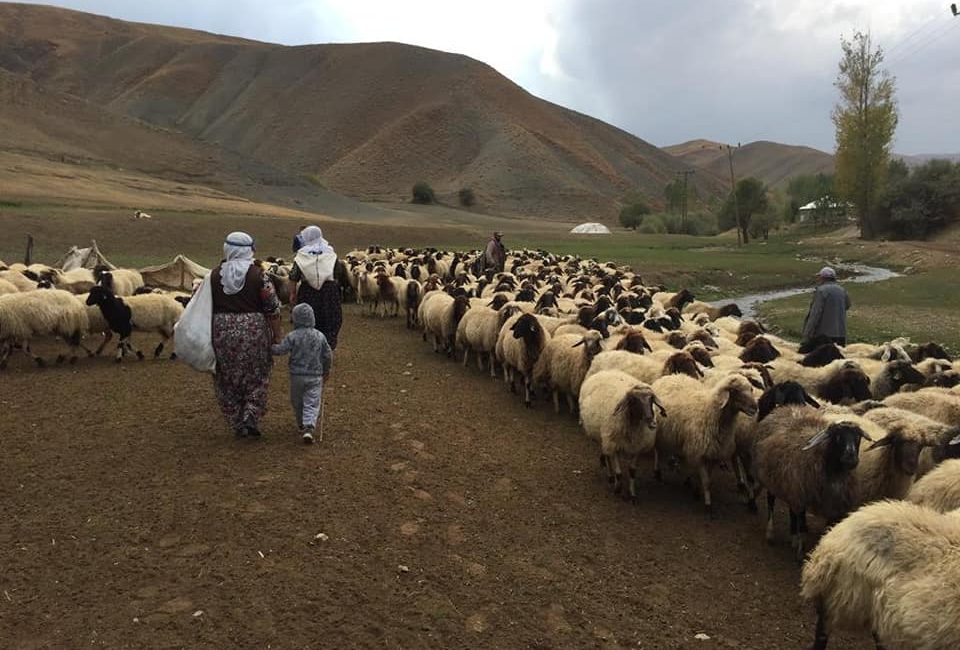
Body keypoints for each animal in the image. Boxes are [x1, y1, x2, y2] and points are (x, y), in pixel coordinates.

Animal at [580, 370, 664, 502]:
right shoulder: (614, 444)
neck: (633, 426)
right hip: (605, 438)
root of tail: (605, 371)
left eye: (651, 400)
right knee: (607, 455)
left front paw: (632, 494)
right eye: (634, 401)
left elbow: (632, 471)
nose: (652, 421)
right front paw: (617, 488)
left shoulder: (637, 448)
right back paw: (610, 476)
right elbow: (619, 473)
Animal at [648, 372, 760, 512]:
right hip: (658, 432)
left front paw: (698, 490)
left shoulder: (712, 453)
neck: (711, 412)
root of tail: (671, 375)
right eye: (735, 391)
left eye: (751, 389)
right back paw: (657, 472)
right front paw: (707, 505)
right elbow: (706, 481)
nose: (755, 408)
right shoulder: (699, 451)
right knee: (657, 450)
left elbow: (709, 480)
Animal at [752, 410, 872, 556]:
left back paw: (793, 535)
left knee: (793, 510)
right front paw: (800, 551)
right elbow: (801, 523)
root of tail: (784, 409)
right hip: (772, 478)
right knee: (771, 501)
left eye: (858, 437)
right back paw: (771, 533)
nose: (851, 459)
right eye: (837, 436)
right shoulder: (801, 493)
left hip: (791, 486)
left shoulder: (834, 505)